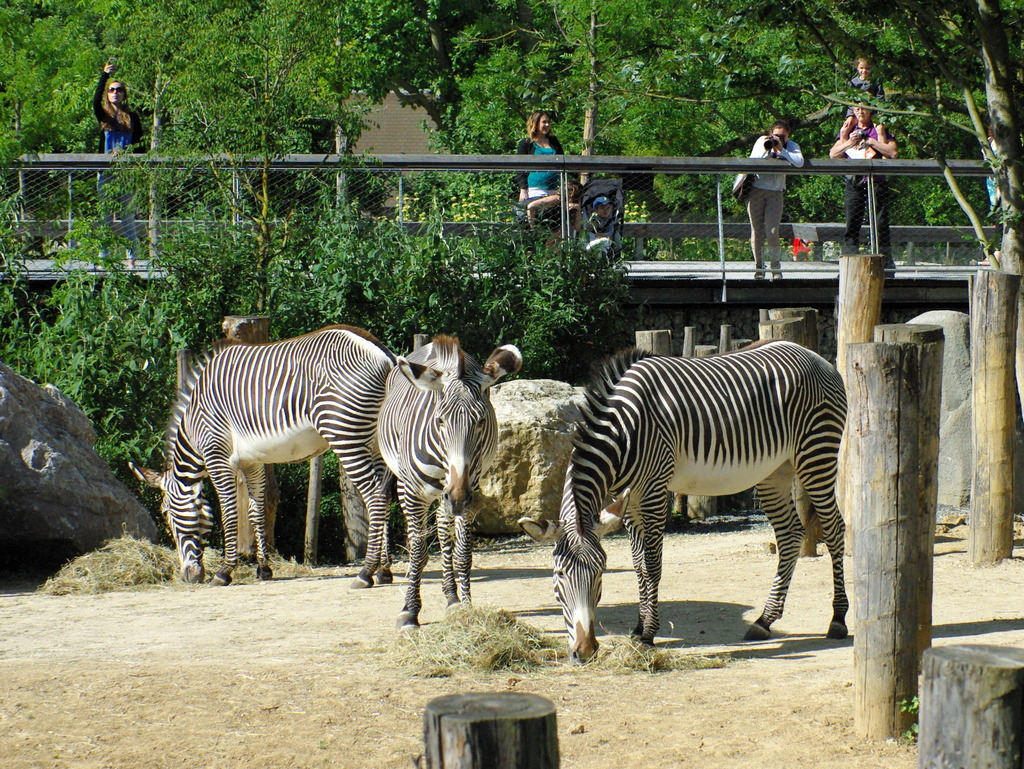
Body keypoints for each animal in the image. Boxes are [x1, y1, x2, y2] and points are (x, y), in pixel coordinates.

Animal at [129, 323, 395, 581]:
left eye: (166, 513)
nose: (187, 577)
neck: (194, 424)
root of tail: (385, 355)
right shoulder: (252, 462)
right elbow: (256, 511)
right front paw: (263, 568)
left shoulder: (217, 457)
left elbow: (229, 512)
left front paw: (225, 571)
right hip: (376, 443)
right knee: (385, 494)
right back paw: (384, 571)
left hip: (345, 434)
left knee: (374, 496)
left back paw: (366, 572)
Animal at [372, 337, 524, 630]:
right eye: (439, 420)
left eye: (481, 420)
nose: (457, 497)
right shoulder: (414, 493)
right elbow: (418, 550)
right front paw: (409, 611)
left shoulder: (470, 488)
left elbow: (463, 551)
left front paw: (465, 606)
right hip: (401, 477)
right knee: (396, 514)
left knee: (443, 531)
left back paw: (451, 595)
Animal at [520, 339, 847, 663]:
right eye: (559, 574)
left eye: (600, 573)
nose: (585, 652)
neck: (623, 431)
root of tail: (814, 355)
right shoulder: (628, 499)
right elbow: (638, 565)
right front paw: (638, 629)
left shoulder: (653, 490)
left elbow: (652, 564)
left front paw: (649, 634)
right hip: (775, 470)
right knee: (790, 534)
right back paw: (764, 621)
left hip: (816, 453)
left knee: (835, 529)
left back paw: (838, 620)